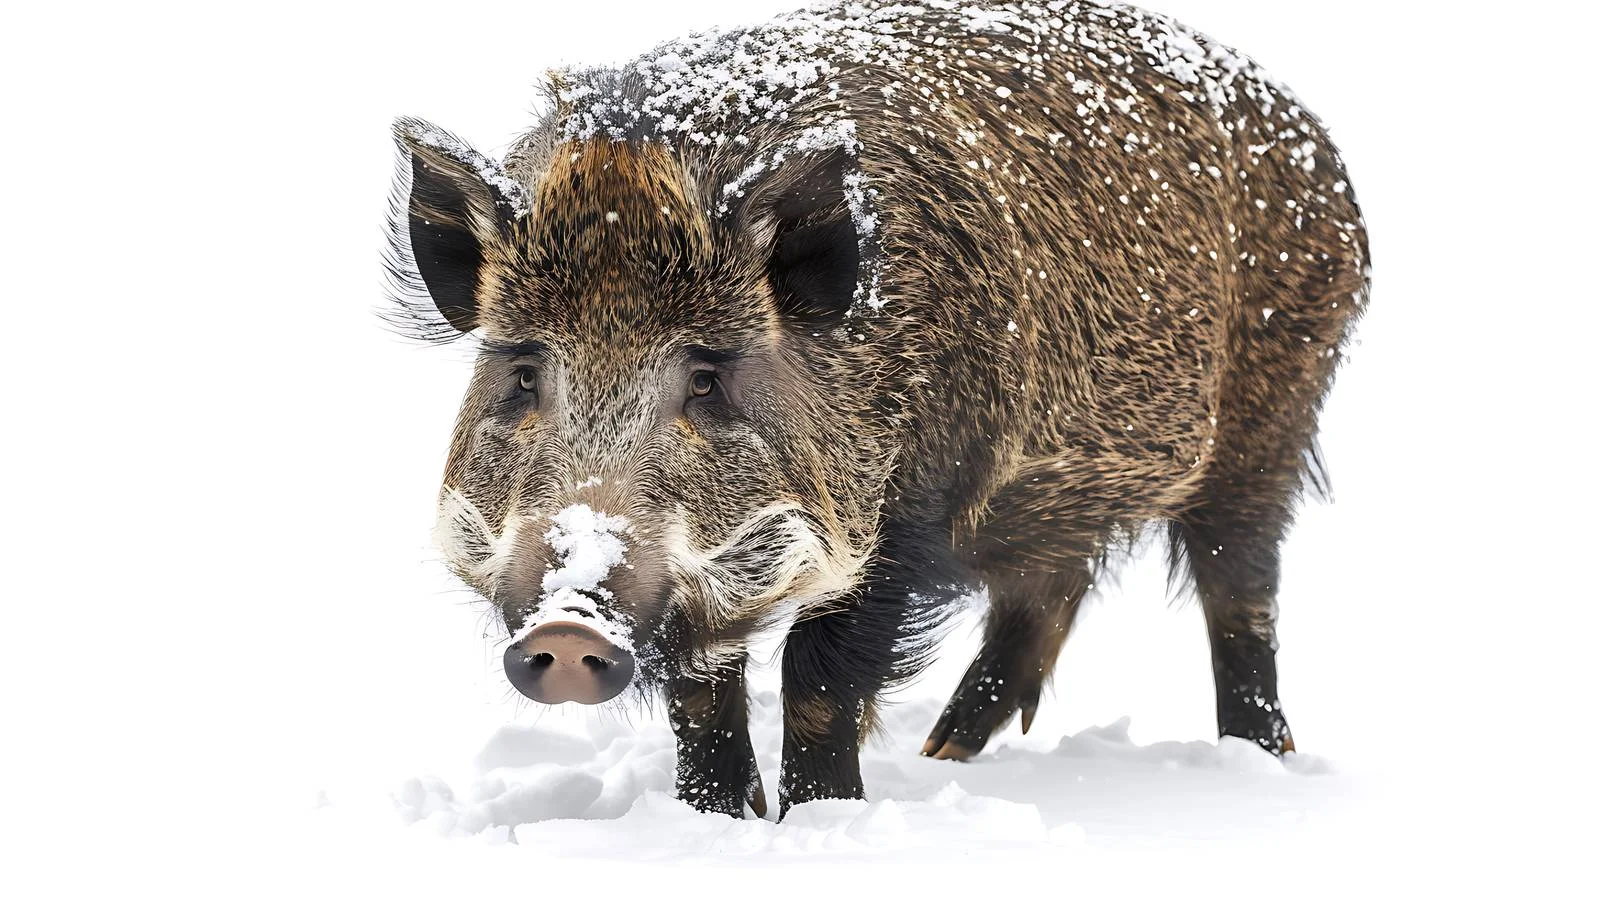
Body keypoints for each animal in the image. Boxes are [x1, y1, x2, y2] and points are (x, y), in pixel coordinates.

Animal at [386, 0, 1369, 819]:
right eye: (524, 371)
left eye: (707, 378)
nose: (567, 623)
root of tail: (1313, 143)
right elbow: (705, 694)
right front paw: (717, 820)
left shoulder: (915, 506)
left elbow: (818, 673)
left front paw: (824, 820)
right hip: (1061, 493)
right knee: (1052, 587)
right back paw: (943, 754)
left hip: (1271, 413)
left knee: (1239, 587)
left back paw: (1260, 759)